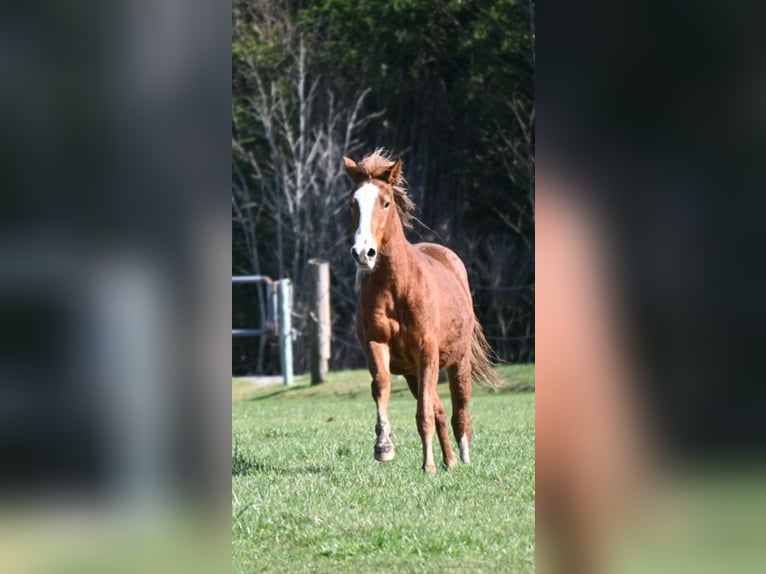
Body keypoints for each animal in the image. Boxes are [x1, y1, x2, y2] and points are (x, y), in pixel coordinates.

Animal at [346, 151, 504, 474]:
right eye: (353, 203)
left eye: (385, 202)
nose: (363, 253)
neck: (397, 288)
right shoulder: (377, 345)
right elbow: (382, 387)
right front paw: (383, 447)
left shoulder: (427, 352)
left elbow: (424, 413)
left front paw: (428, 465)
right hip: (412, 373)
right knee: (440, 409)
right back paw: (449, 461)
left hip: (457, 361)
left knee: (459, 407)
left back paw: (462, 456)